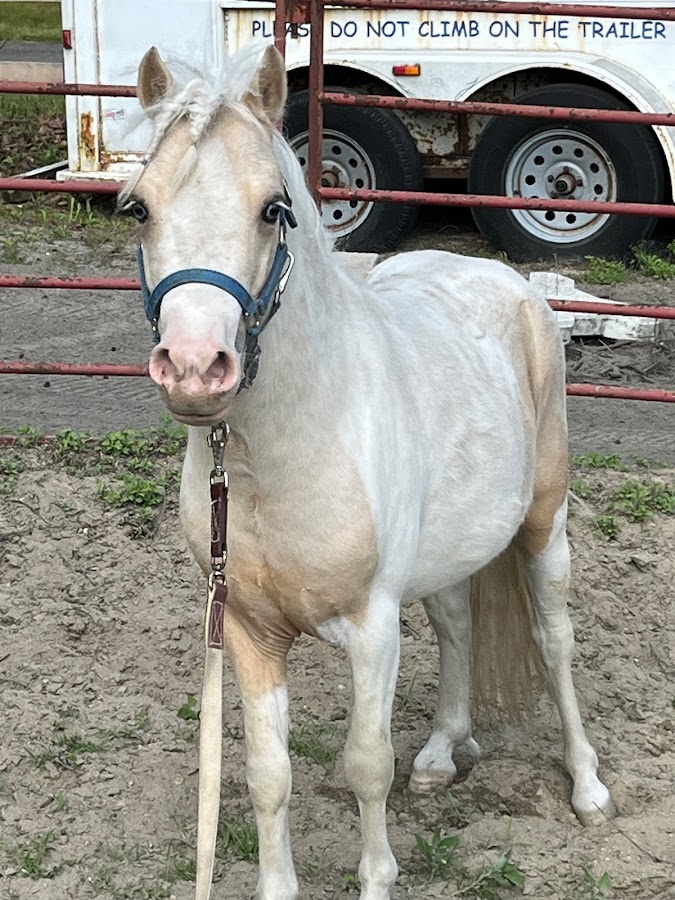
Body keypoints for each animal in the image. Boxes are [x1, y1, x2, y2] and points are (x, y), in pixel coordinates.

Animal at [123, 42, 615, 900]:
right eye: (142, 208)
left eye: (273, 209)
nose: (192, 367)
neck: (278, 456)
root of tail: (506, 281)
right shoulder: (248, 631)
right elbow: (267, 774)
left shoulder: (371, 625)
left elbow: (364, 766)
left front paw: (378, 876)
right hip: (450, 548)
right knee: (455, 624)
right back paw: (442, 752)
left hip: (542, 524)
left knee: (555, 640)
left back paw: (586, 787)